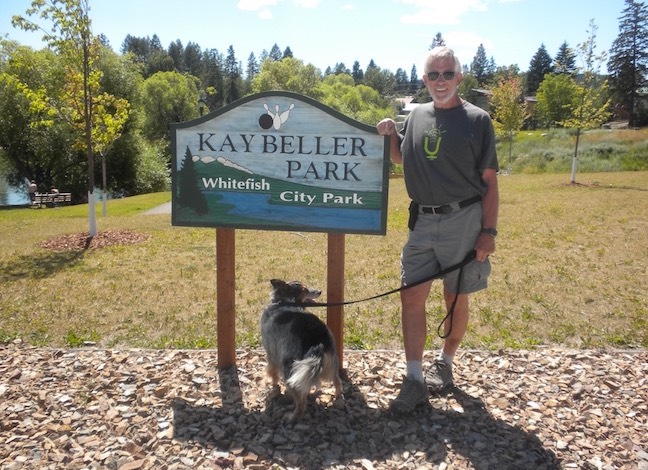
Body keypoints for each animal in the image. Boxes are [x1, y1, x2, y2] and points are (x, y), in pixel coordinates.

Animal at [260, 280, 344, 422]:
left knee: (301, 404)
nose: (319, 291)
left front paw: (274, 387)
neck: (284, 302)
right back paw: (337, 397)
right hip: (330, 361)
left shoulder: (271, 354)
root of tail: (318, 340)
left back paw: (291, 417)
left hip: (289, 369)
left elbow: (273, 374)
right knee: (337, 381)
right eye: (305, 290)